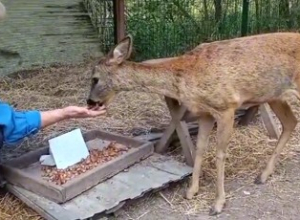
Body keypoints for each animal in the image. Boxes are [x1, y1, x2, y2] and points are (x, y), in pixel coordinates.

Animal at [85, 32, 300, 215]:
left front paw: (218, 203)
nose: (89, 101)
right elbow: (200, 149)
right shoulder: (205, 113)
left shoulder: (226, 106)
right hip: (274, 96)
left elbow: (220, 155)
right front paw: (191, 191)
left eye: (95, 79)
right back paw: (263, 175)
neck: (189, 75)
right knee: (291, 122)